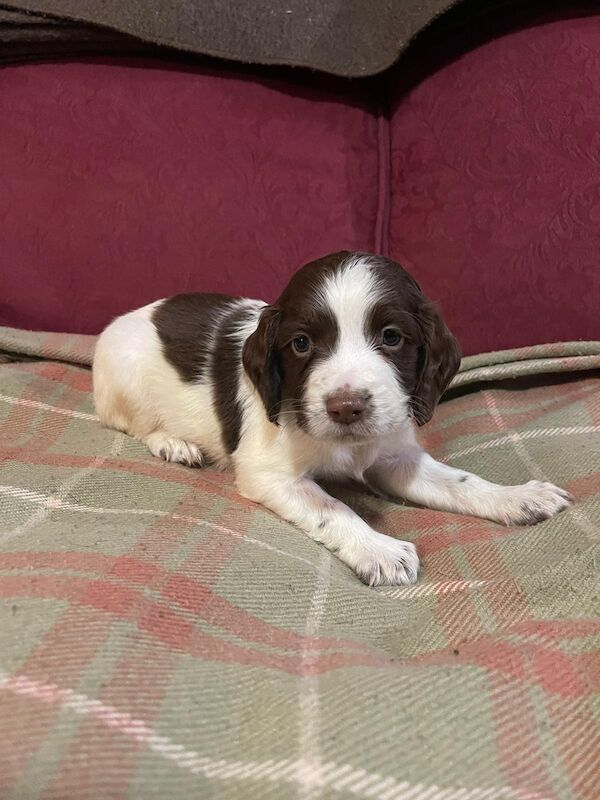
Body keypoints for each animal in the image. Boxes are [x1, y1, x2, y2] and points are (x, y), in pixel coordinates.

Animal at [94, 253, 572, 584]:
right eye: (301, 343)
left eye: (392, 337)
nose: (346, 407)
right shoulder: (268, 473)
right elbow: (334, 508)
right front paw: (380, 550)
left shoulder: (395, 456)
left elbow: (461, 481)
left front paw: (517, 497)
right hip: (128, 381)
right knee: (133, 424)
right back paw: (174, 443)